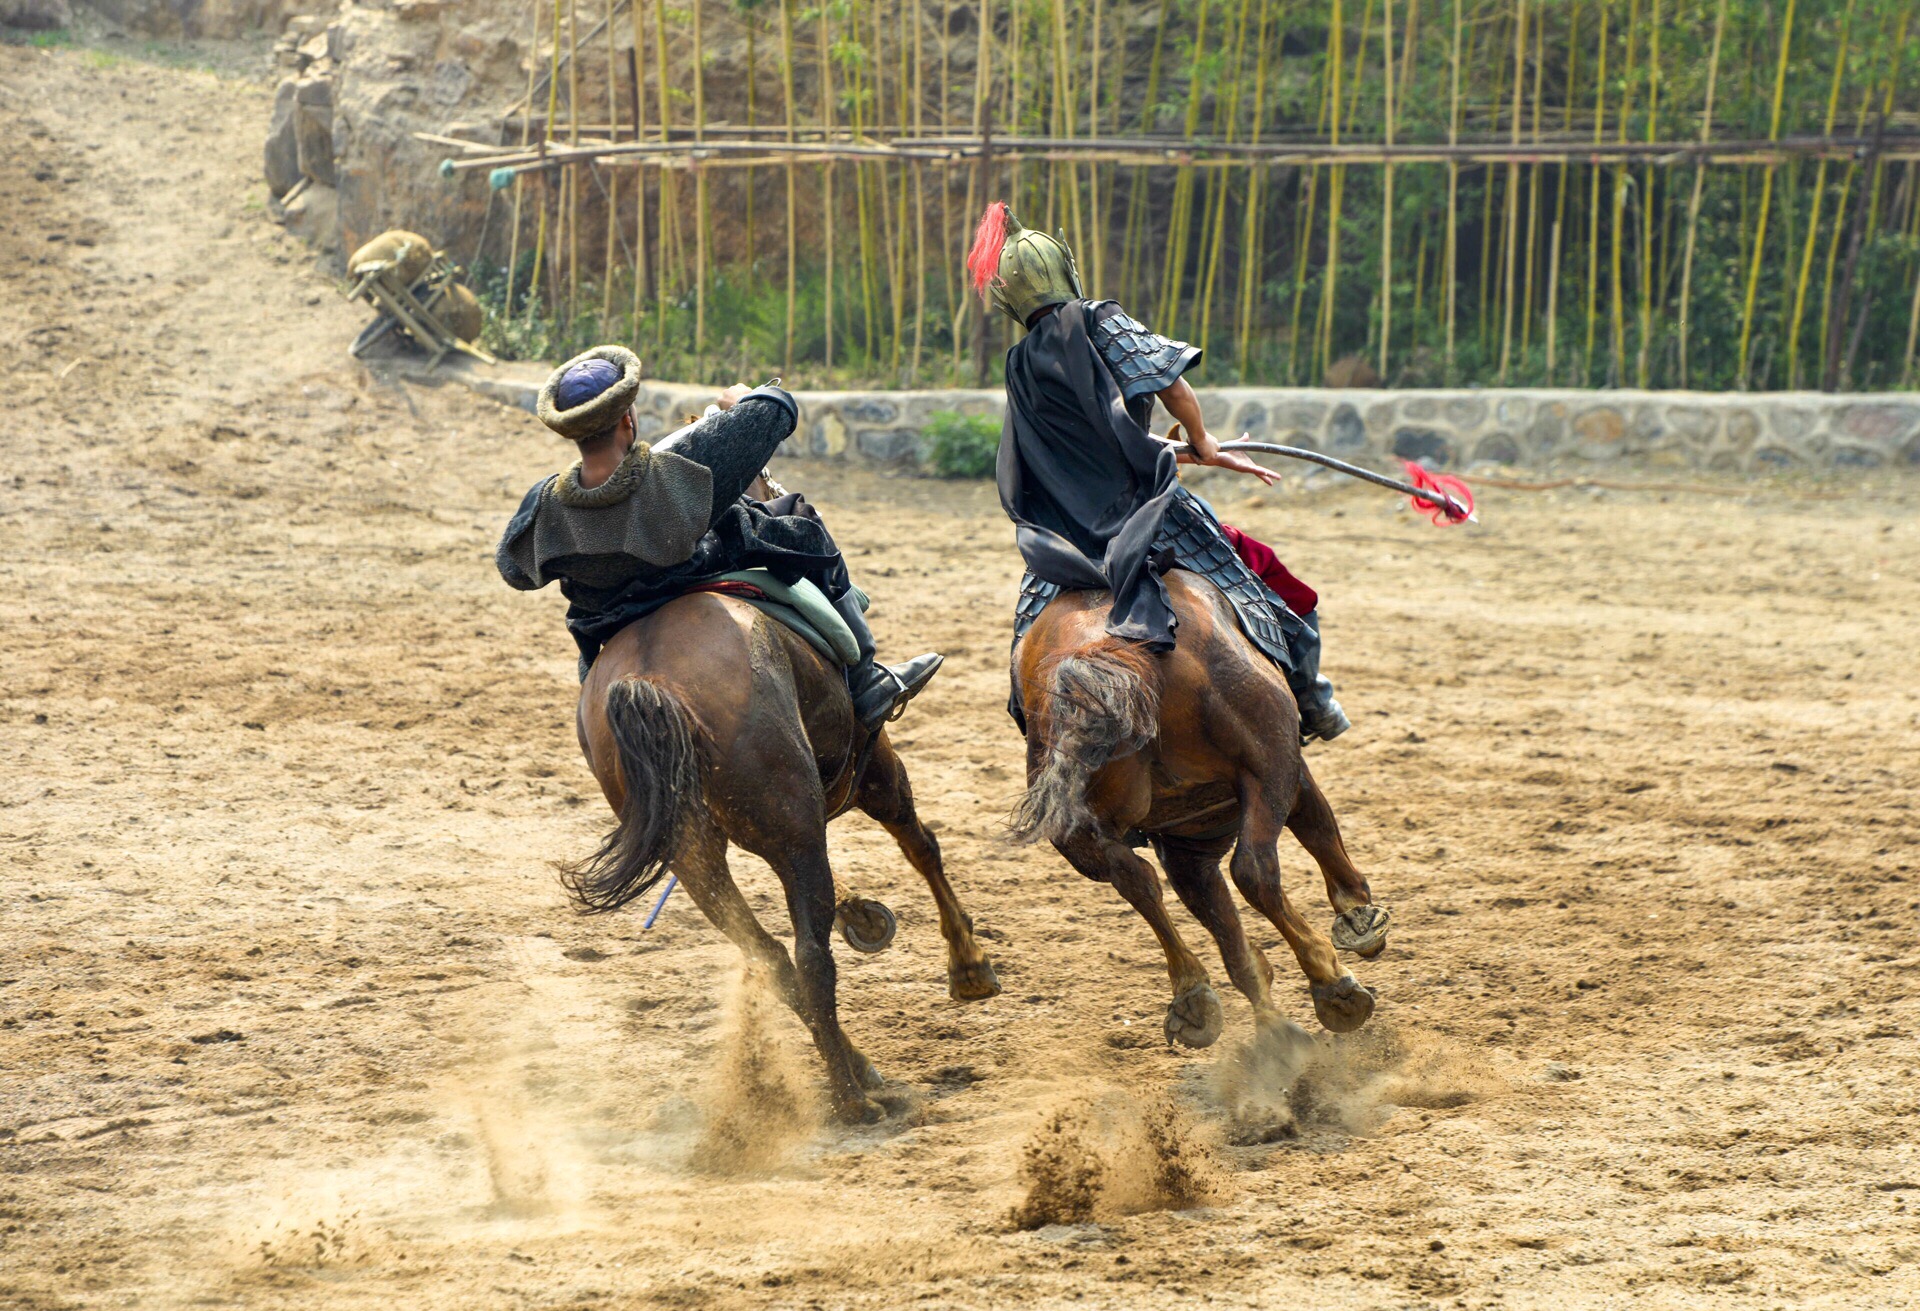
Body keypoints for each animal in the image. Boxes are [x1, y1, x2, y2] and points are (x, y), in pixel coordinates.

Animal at [564, 587, 998, 1128]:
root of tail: (649, 679)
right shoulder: (875, 762)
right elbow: (921, 847)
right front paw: (969, 966)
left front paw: (862, 914)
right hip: (797, 834)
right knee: (811, 959)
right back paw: (854, 1101)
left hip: (698, 862)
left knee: (771, 959)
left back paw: (858, 1069)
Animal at [1013, 579, 1390, 1051]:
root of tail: (1101, 648)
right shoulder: (1291, 773)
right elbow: (1320, 835)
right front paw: (1358, 918)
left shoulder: (1185, 846)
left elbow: (1227, 933)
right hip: (1270, 766)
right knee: (1254, 870)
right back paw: (1333, 985)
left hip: (1083, 832)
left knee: (1136, 880)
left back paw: (1201, 1000)